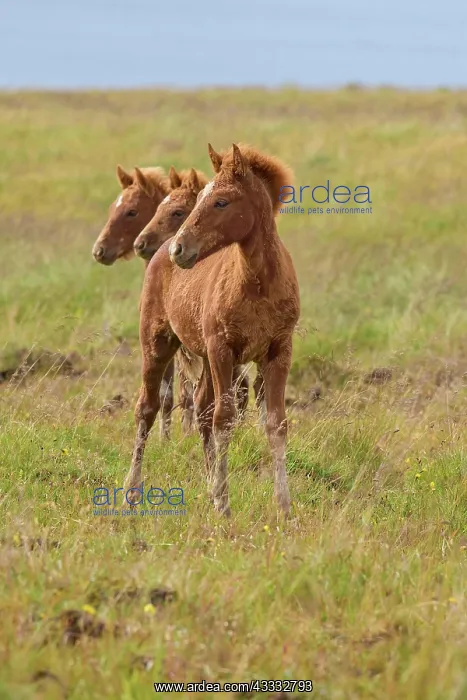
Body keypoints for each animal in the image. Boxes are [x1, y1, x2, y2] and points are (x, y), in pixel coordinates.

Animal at [125, 144, 300, 517]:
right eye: (202, 198)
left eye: (221, 201)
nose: (180, 249)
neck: (258, 284)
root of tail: (157, 255)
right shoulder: (223, 349)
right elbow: (224, 419)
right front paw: (223, 503)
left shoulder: (279, 351)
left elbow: (276, 423)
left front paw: (284, 507)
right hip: (157, 345)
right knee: (147, 408)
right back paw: (132, 489)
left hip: (205, 358)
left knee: (201, 407)